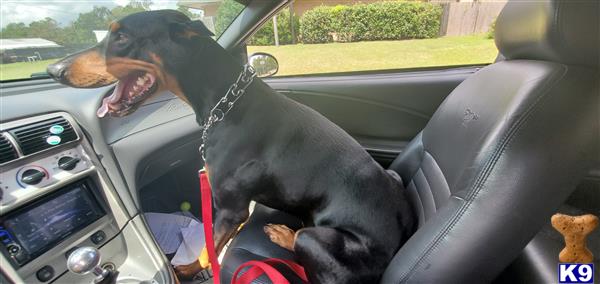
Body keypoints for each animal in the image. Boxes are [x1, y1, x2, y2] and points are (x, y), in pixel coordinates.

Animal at [48, 10, 418, 282]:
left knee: (306, 248)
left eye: (122, 37)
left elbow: (207, 248)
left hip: (321, 242)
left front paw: (187, 270)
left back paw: (285, 236)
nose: (53, 69)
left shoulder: (229, 207)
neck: (224, 103)